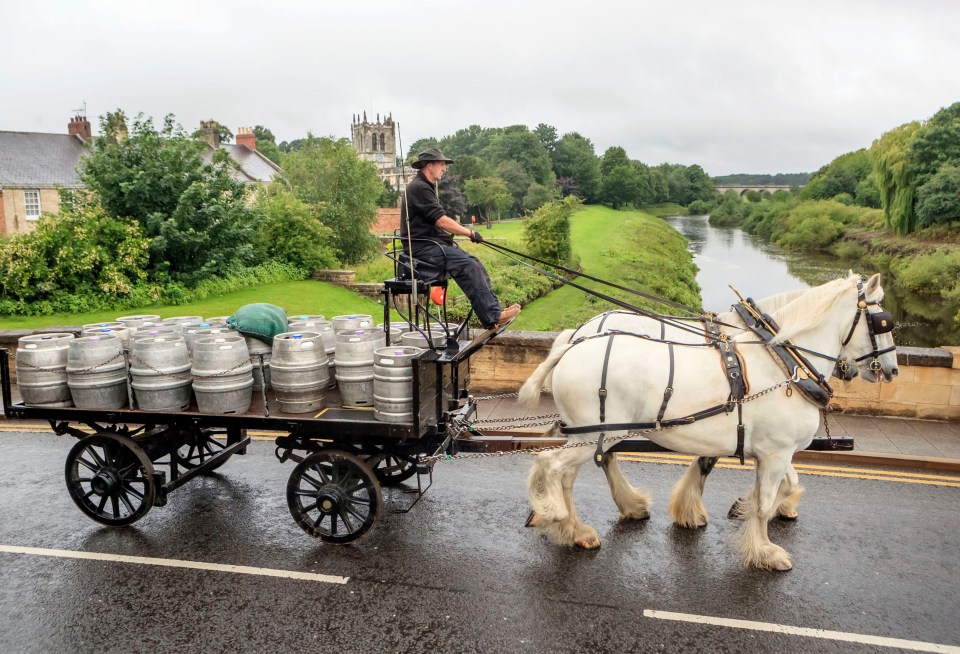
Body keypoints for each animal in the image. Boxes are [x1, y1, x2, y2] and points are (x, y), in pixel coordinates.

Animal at [520, 274, 896, 572]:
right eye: (883, 322)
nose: (892, 370)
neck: (783, 362)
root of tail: (571, 343)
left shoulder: (772, 449)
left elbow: (784, 484)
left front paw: (738, 509)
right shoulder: (775, 452)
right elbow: (764, 500)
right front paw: (764, 550)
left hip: (590, 435)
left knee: (571, 473)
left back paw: (577, 529)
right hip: (598, 433)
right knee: (552, 464)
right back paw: (559, 514)